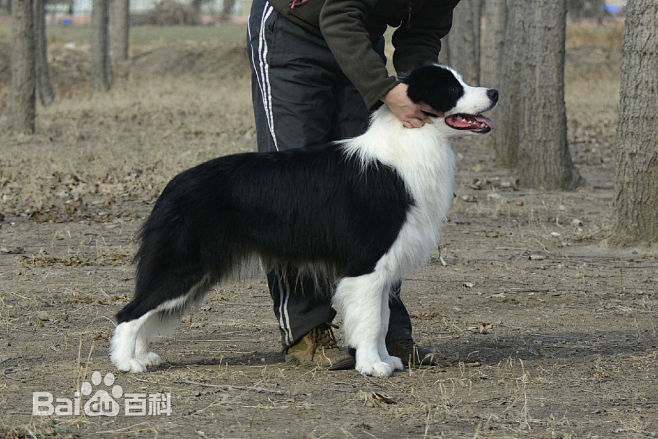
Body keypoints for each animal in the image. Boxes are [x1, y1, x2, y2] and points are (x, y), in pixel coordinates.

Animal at [110, 64, 494, 378]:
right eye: (450, 88)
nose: (494, 93)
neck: (410, 144)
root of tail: (173, 185)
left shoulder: (383, 269)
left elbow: (383, 318)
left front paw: (387, 359)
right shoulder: (366, 263)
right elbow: (371, 320)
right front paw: (372, 367)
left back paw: (144, 356)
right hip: (184, 265)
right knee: (131, 311)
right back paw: (127, 362)